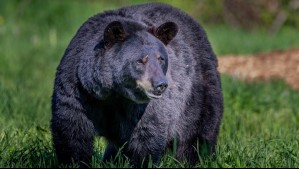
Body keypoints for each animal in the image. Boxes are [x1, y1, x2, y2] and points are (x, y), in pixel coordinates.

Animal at [51, 1, 224, 168]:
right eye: (141, 60)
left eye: (161, 58)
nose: (161, 84)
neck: (113, 94)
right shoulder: (79, 89)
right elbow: (72, 128)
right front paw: (74, 161)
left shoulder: (144, 106)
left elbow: (146, 134)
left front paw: (140, 162)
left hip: (196, 92)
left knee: (197, 132)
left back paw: (194, 160)